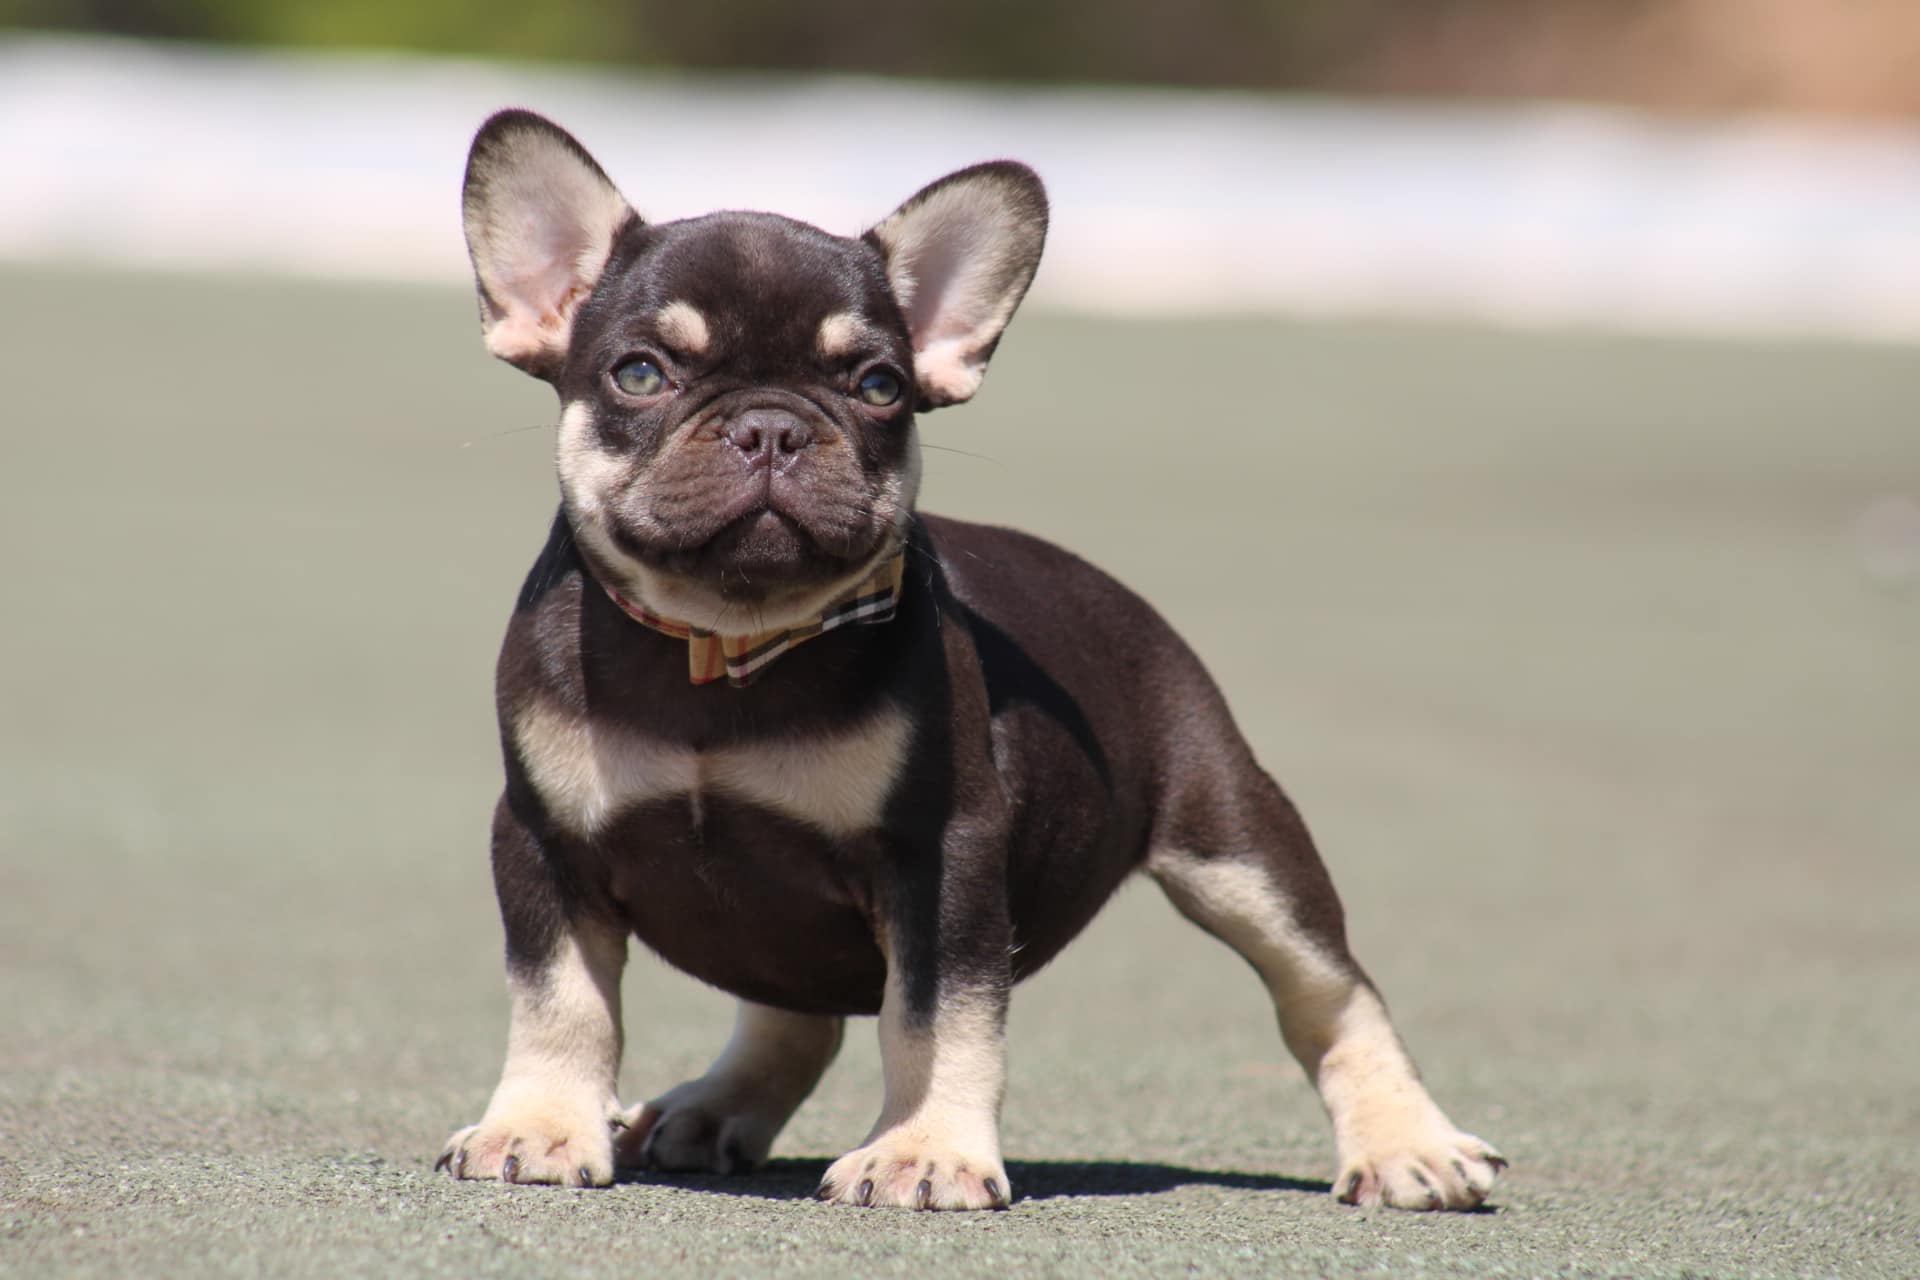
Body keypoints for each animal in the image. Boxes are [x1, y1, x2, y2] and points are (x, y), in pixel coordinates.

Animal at [435, 107, 1497, 1212]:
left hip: (1237, 847)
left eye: (878, 387)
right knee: (791, 1007)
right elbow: (560, 999)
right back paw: (710, 1106)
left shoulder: (939, 856)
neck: (727, 642)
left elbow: (935, 1015)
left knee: (1330, 991)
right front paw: (540, 1124)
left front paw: (924, 1148)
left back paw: (1409, 1143)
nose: (769, 426)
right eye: (640, 372)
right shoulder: (545, 841)